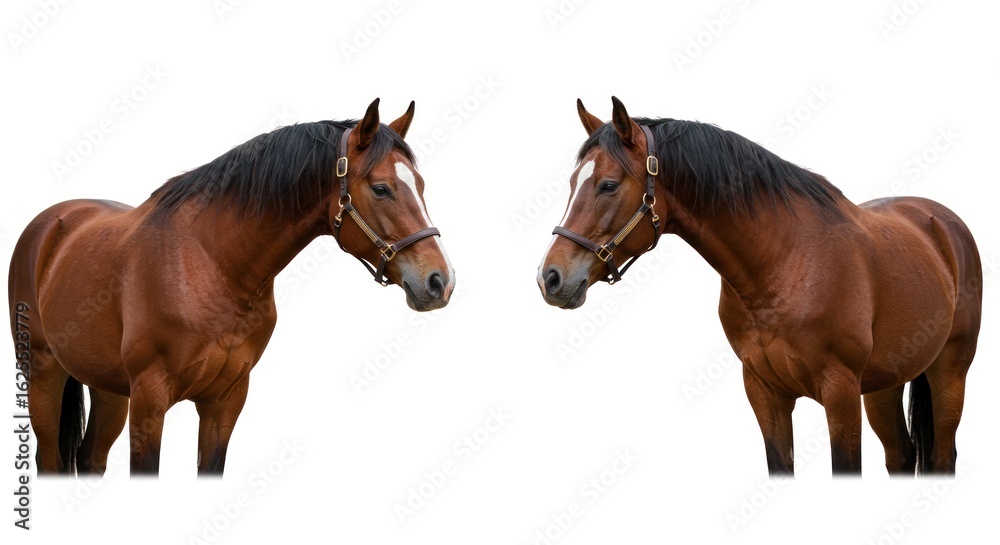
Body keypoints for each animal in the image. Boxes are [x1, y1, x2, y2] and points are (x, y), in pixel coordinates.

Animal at [8, 98, 455, 477]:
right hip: (43, 373)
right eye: (381, 188)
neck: (212, 263)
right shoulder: (150, 399)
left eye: (421, 185)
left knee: (90, 458)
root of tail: (51, 224)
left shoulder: (225, 401)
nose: (440, 281)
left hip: (108, 387)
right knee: (50, 460)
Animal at [538, 97, 982, 476]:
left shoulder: (840, 393)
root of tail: (940, 222)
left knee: (942, 456)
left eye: (608, 185)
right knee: (901, 457)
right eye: (573, 182)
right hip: (884, 384)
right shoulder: (765, 392)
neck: (783, 263)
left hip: (949, 373)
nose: (550, 277)